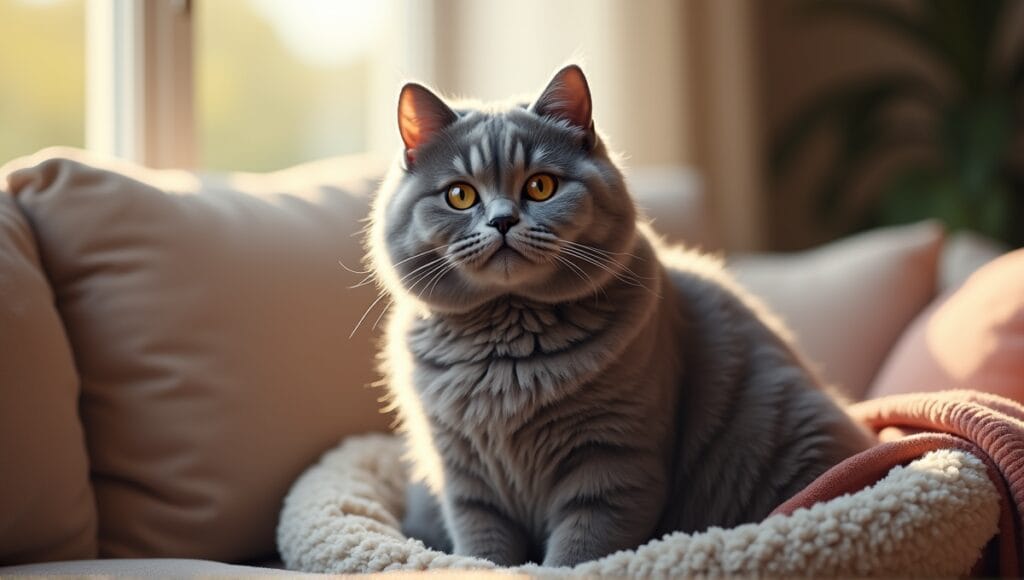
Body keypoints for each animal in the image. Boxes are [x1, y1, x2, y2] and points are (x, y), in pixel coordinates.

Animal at [366, 64, 872, 569]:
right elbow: (483, 549)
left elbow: (579, 552)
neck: (506, 349)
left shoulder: (612, 465)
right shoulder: (466, 482)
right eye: (460, 195)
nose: (502, 221)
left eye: (540, 186)